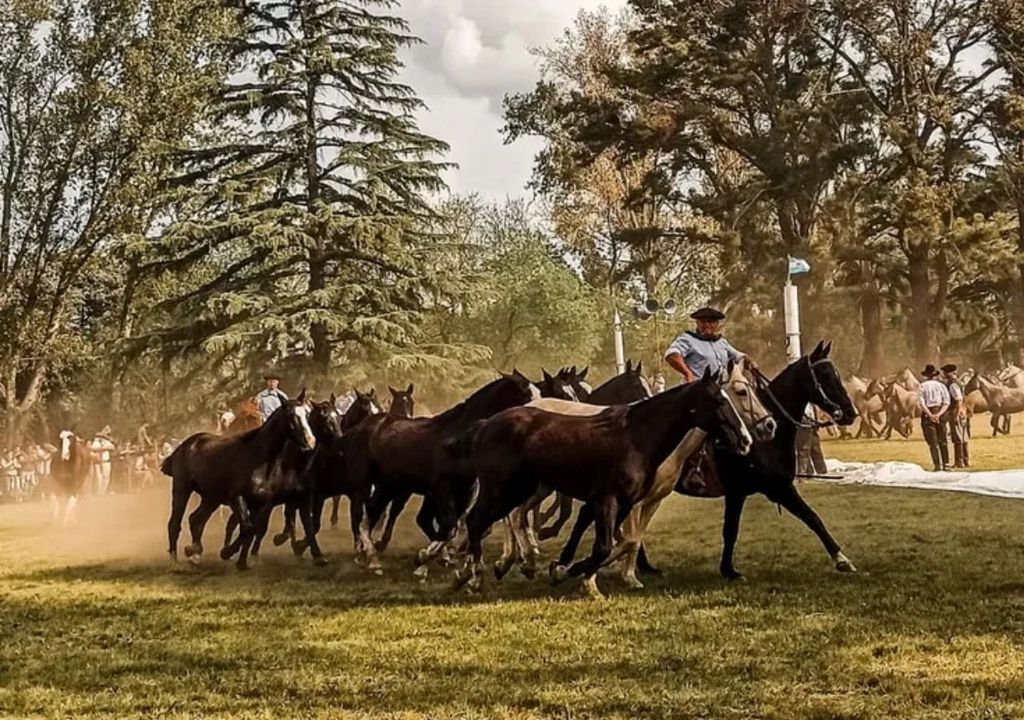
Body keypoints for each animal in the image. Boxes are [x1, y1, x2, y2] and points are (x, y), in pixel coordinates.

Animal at [162, 391, 316, 570]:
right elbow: (247, 527)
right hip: (182, 488)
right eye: (292, 415)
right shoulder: (237, 498)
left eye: (307, 414)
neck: (258, 458)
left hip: (211, 498)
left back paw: (194, 552)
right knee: (174, 523)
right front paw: (227, 552)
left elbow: (253, 528)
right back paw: (174, 561)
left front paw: (241, 561)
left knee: (196, 520)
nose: (310, 441)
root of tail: (183, 446)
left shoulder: (261, 503)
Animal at [345, 371, 539, 574]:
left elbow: (451, 526)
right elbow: (449, 525)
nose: (539, 414)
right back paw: (369, 556)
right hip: (365, 484)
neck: (457, 438)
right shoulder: (441, 490)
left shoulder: (465, 491)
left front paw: (429, 559)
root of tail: (359, 428)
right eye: (525, 392)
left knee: (372, 513)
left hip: (388, 485)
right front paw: (425, 557)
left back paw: (369, 554)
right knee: (360, 516)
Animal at [449, 367, 753, 598]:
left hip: (524, 488)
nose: (746, 440)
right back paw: (475, 575)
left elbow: (619, 543)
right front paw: (569, 574)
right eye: (719, 401)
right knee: (478, 520)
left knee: (498, 519)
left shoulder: (625, 502)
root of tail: (485, 425)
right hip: (501, 489)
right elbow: (607, 545)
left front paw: (570, 573)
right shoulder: (609, 500)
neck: (636, 437)